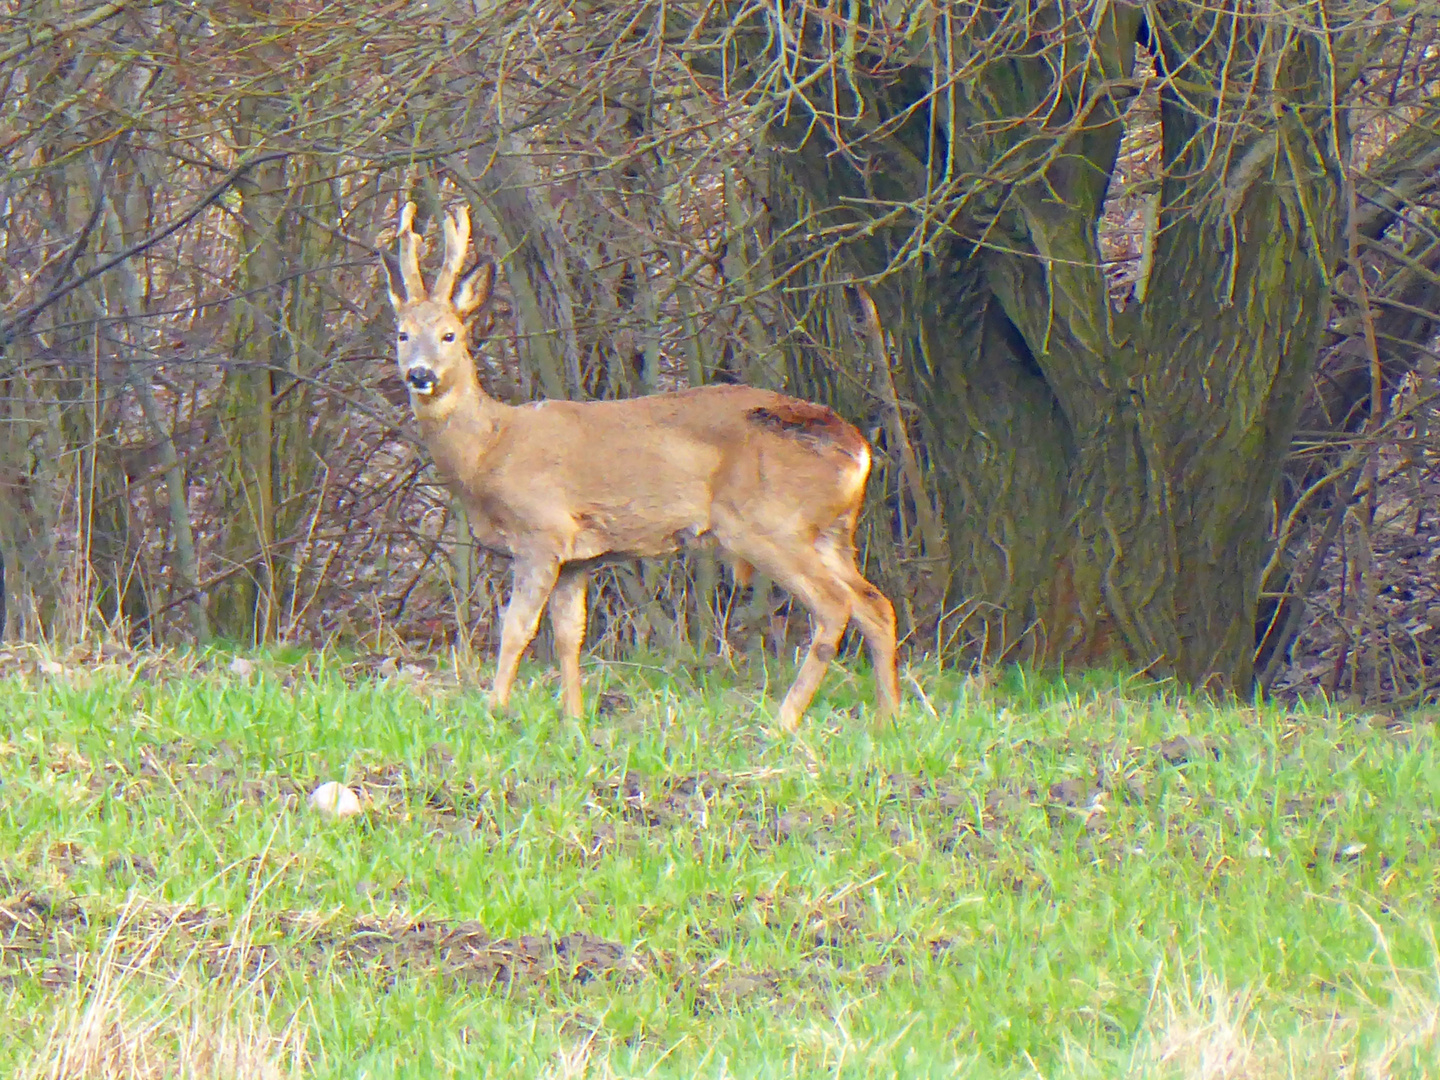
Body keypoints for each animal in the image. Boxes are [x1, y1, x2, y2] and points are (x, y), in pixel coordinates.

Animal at [383, 203, 898, 731]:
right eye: (402, 334)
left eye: (450, 334)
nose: (419, 374)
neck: (489, 448)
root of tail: (858, 449)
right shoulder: (578, 558)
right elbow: (569, 636)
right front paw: (574, 720)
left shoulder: (541, 532)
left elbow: (517, 628)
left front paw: (494, 711)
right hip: (830, 531)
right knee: (875, 604)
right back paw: (889, 718)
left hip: (769, 523)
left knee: (834, 606)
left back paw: (785, 718)